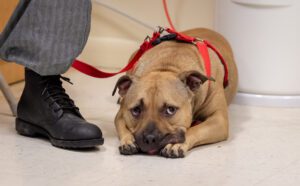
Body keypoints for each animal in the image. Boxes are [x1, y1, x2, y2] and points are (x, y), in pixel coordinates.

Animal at [113, 28, 238, 158]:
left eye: (170, 110)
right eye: (136, 110)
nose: (149, 138)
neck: (167, 67)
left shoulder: (219, 119)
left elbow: (194, 130)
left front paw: (176, 144)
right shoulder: (121, 115)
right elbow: (122, 126)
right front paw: (127, 140)